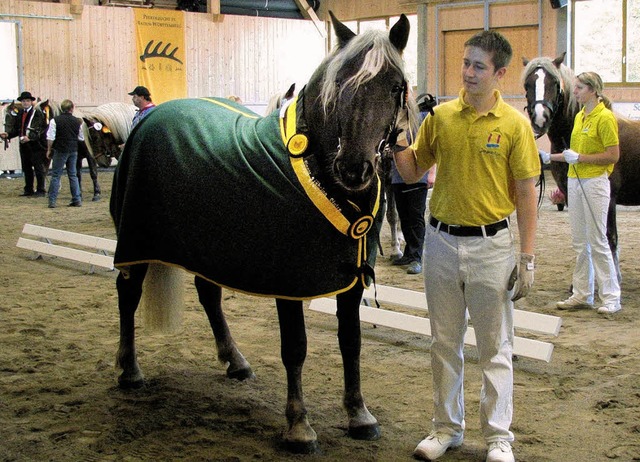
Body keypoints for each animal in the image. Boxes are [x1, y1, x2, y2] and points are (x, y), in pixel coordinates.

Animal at [110, 12, 416, 452]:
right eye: (341, 84)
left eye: (394, 86)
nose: (354, 169)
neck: (318, 173)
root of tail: (150, 117)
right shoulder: (289, 281)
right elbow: (296, 349)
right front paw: (299, 427)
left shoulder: (352, 278)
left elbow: (351, 341)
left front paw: (359, 415)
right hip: (138, 240)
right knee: (128, 294)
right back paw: (130, 370)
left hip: (207, 245)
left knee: (208, 295)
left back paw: (235, 362)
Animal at [524, 52, 640, 280]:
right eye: (527, 84)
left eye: (554, 83)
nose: (540, 118)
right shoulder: (571, 194)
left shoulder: (608, 199)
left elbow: (609, 239)